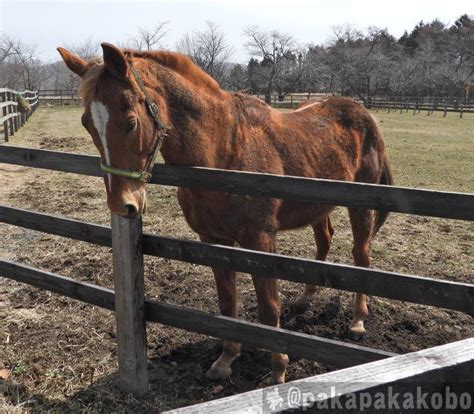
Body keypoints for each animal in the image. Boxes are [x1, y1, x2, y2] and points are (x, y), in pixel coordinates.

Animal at [57, 42, 394, 384]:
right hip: (317, 207)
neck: (225, 151)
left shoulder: (261, 242)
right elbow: (227, 302)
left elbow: (268, 307)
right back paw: (304, 300)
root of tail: (362, 114)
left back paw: (357, 320)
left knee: (361, 255)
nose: (123, 204)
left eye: (130, 122)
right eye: (87, 123)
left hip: (360, 207)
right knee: (324, 242)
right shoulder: (213, 240)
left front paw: (278, 371)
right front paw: (226, 359)